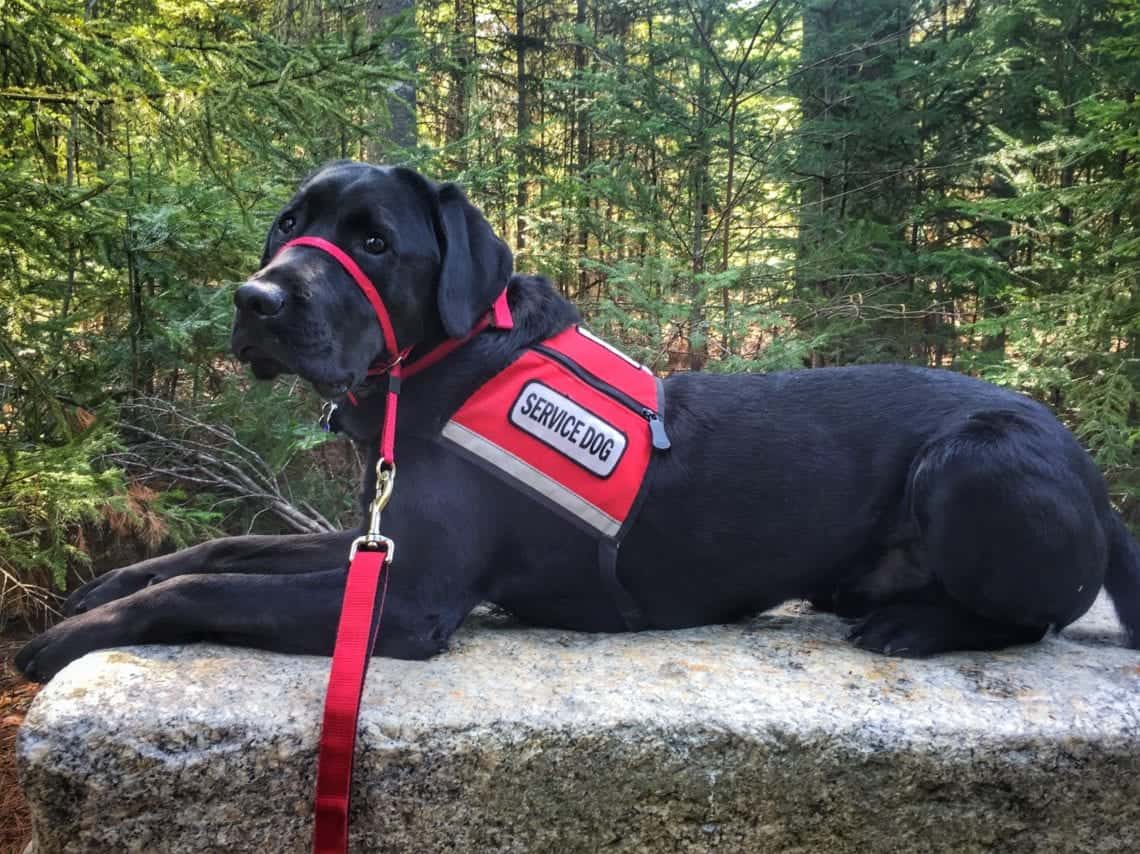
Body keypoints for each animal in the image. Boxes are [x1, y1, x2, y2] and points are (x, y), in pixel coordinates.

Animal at [17, 161, 1140, 679]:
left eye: (374, 241)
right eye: (290, 223)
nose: (254, 301)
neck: (446, 368)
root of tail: (1093, 479)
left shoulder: (409, 597)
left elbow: (210, 585)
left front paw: (69, 634)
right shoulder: (379, 539)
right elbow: (223, 547)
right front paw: (107, 583)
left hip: (977, 459)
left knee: (1036, 612)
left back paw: (916, 620)